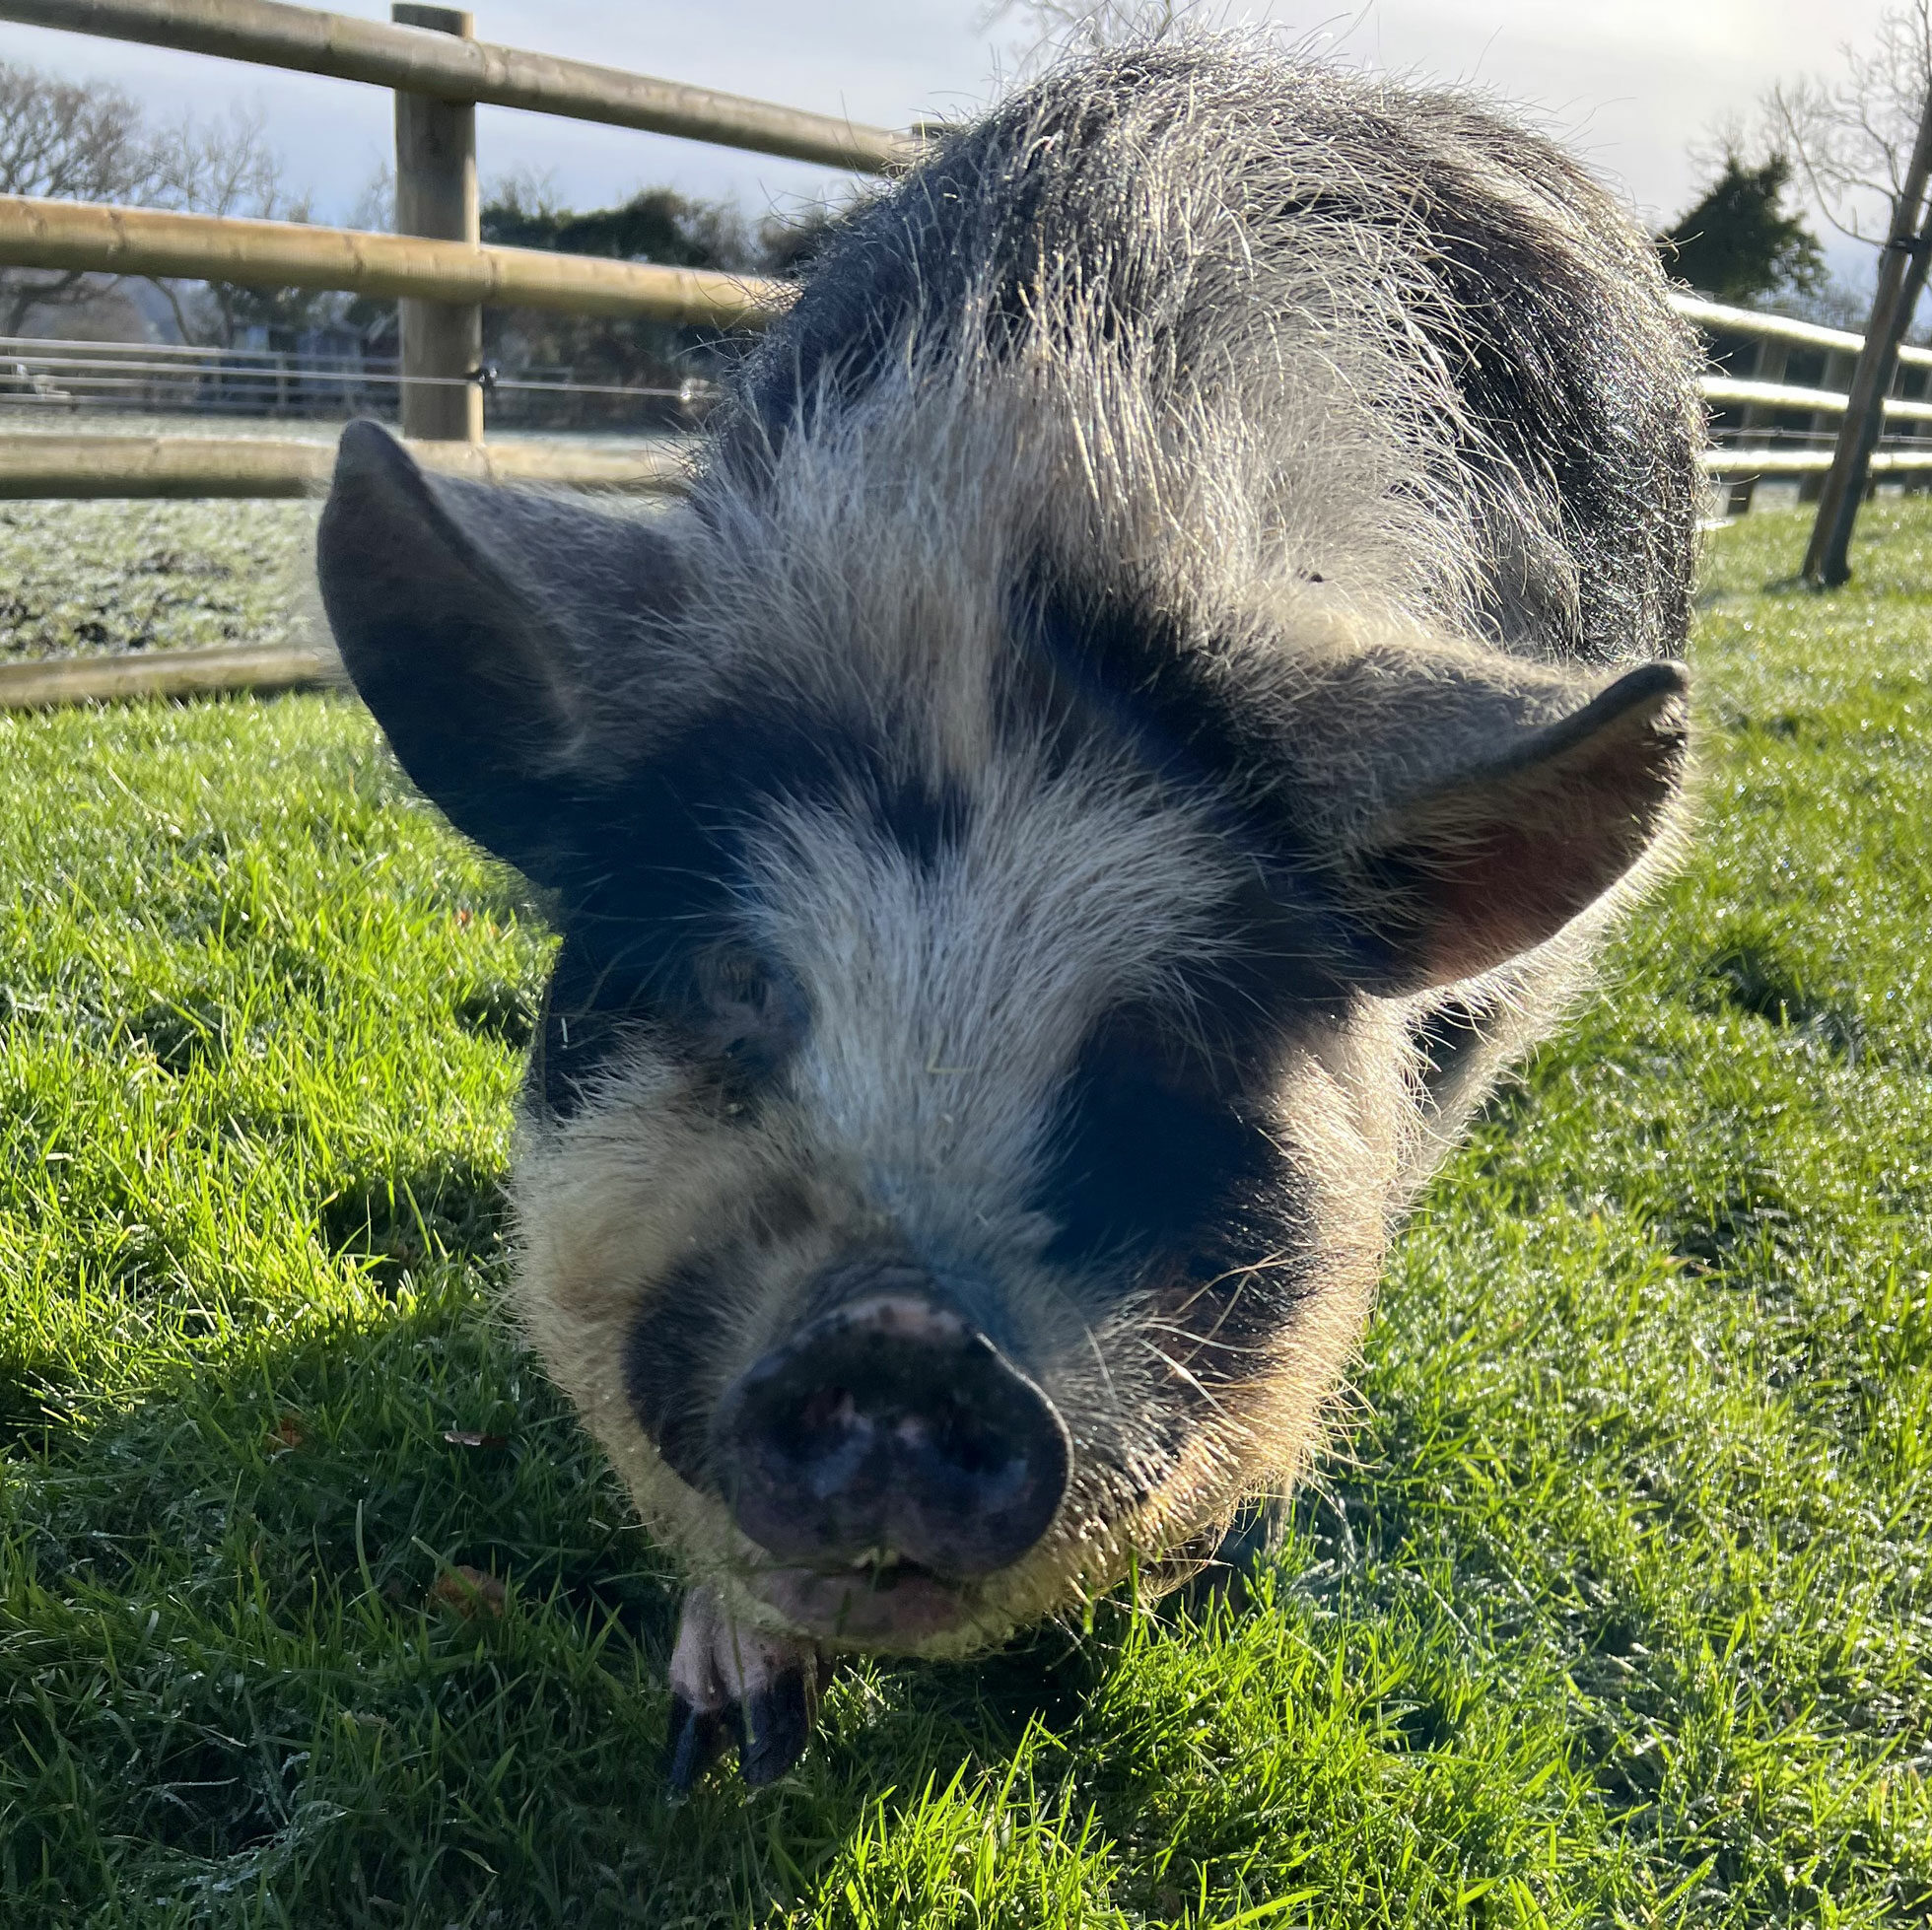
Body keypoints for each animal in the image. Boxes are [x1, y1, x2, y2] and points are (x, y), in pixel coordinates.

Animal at [312, 37, 1691, 1792]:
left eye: (1173, 1050)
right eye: (731, 979)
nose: (900, 1330)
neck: (1047, 487)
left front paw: (1193, 1580)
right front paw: (726, 1747)